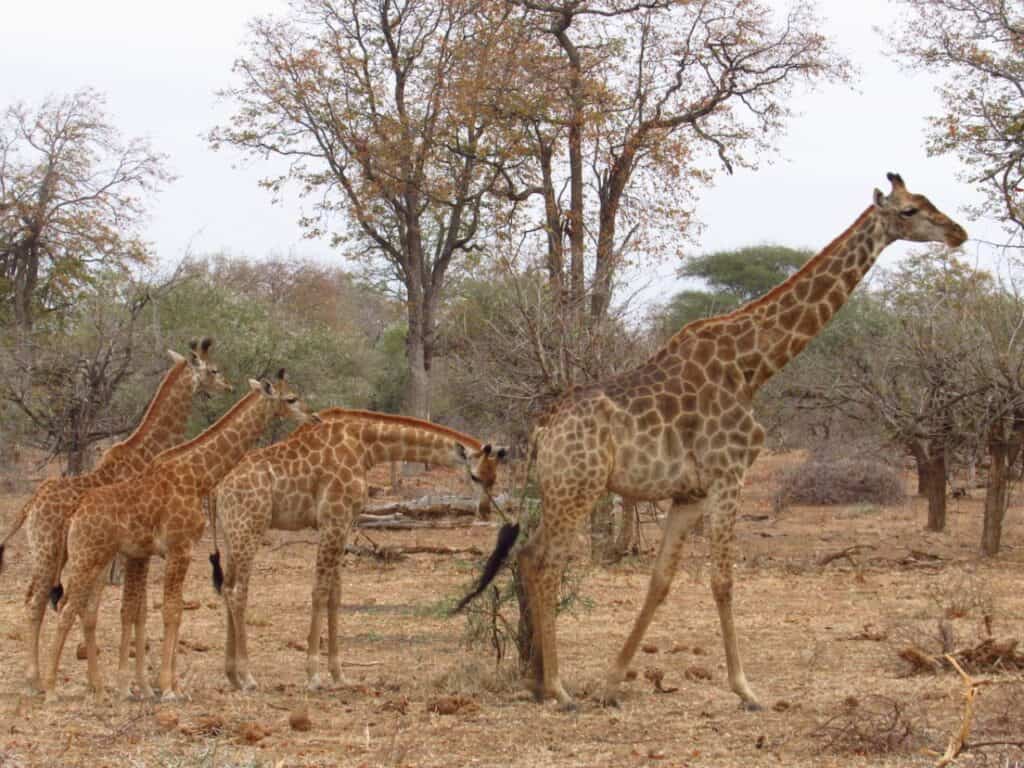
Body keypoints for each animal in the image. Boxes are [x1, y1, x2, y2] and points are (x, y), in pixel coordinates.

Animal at [0, 338, 232, 692]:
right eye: (215, 369)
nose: (229, 387)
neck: (145, 451)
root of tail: (30, 506)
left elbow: (108, 609)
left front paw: (111, 680)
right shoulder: (132, 551)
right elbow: (130, 608)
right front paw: (135, 681)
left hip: (53, 555)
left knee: (36, 599)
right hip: (49, 552)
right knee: (35, 602)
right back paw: (35, 678)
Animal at [43, 369, 318, 701]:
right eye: (291, 398)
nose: (314, 416)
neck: (198, 476)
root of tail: (74, 515)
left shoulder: (177, 552)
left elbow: (175, 611)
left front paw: (171, 686)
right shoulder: (179, 548)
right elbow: (171, 611)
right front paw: (166, 688)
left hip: (96, 560)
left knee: (79, 608)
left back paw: (91, 688)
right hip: (86, 559)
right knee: (66, 608)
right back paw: (50, 689)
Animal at [212, 408, 507, 691]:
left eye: (494, 478)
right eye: (474, 476)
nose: (485, 511)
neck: (366, 447)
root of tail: (218, 490)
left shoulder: (345, 524)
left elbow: (335, 595)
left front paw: (339, 675)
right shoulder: (333, 520)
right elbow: (319, 592)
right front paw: (313, 675)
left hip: (232, 533)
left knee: (227, 588)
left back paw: (232, 675)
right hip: (250, 528)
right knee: (238, 593)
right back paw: (248, 677)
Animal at [462, 173, 968, 709]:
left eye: (929, 201)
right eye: (910, 210)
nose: (957, 232)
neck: (753, 367)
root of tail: (542, 429)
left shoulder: (690, 493)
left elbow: (661, 581)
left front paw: (612, 682)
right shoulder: (730, 475)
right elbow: (723, 580)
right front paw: (746, 688)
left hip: (561, 489)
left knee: (526, 557)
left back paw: (537, 680)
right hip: (579, 487)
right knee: (545, 561)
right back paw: (556, 687)